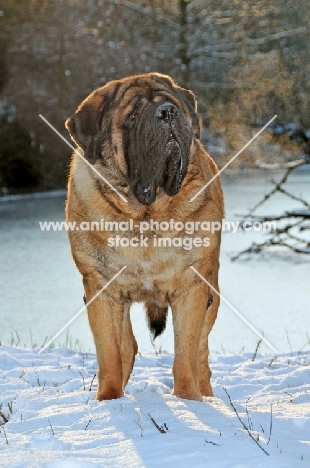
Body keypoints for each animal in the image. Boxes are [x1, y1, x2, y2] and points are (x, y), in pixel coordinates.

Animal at [65, 73, 224, 402]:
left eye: (173, 104)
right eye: (133, 116)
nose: (167, 112)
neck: (145, 215)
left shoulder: (192, 288)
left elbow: (185, 354)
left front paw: (189, 400)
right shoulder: (101, 290)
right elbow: (110, 354)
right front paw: (109, 401)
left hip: (212, 291)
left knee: (201, 355)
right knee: (127, 346)